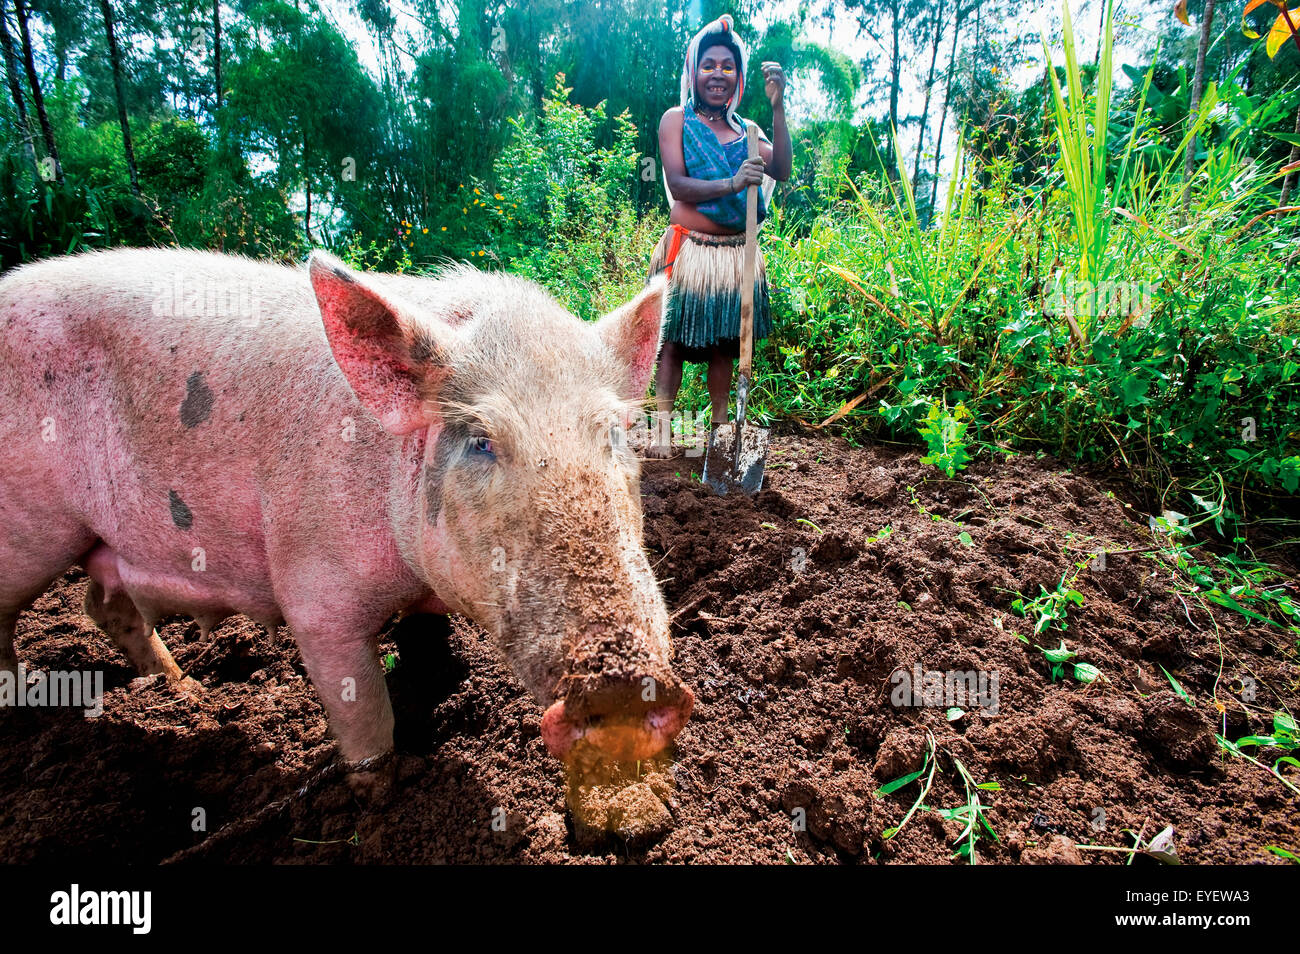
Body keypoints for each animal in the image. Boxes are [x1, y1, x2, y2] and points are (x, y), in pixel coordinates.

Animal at [0, 248, 691, 790]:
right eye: (481, 441)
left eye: (615, 433)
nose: (626, 684)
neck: (414, 580)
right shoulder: (315, 593)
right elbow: (366, 717)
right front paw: (376, 795)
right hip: (30, 531)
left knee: (103, 604)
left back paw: (186, 694)